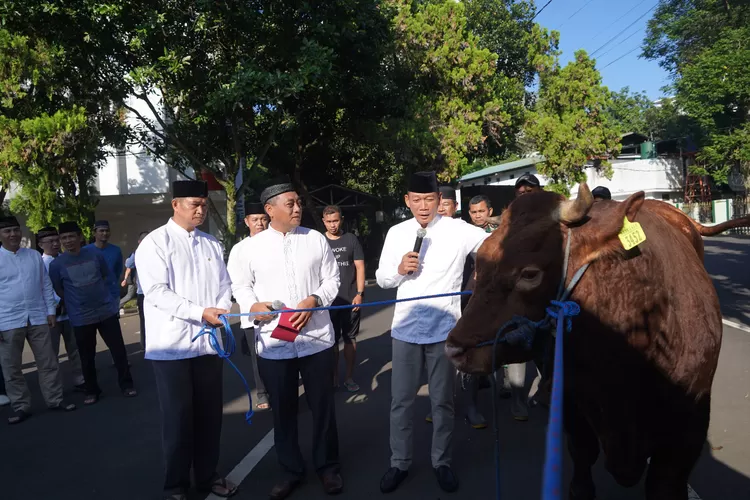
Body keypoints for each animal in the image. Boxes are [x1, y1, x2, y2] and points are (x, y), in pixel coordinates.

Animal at [446, 184, 724, 500]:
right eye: (479, 261)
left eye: (529, 273)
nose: (454, 347)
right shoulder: (572, 405)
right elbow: (582, 459)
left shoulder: (688, 430)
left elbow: (664, 484)